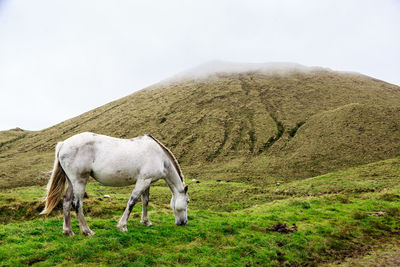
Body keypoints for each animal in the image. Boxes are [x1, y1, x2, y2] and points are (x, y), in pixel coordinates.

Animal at [40, 133, 189, 238]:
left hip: (72, 182)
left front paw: (146, 222)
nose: (183, 223)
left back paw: (68, 231)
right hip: (79, 180)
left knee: (66, 201)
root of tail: (63, 144)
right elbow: (132, 202)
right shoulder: (143, 181)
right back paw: (87, 231)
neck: (160, 156)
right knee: (77, 204)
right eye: (187, 201)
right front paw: (122, 226)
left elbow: (145, 201)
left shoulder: (147, 182)